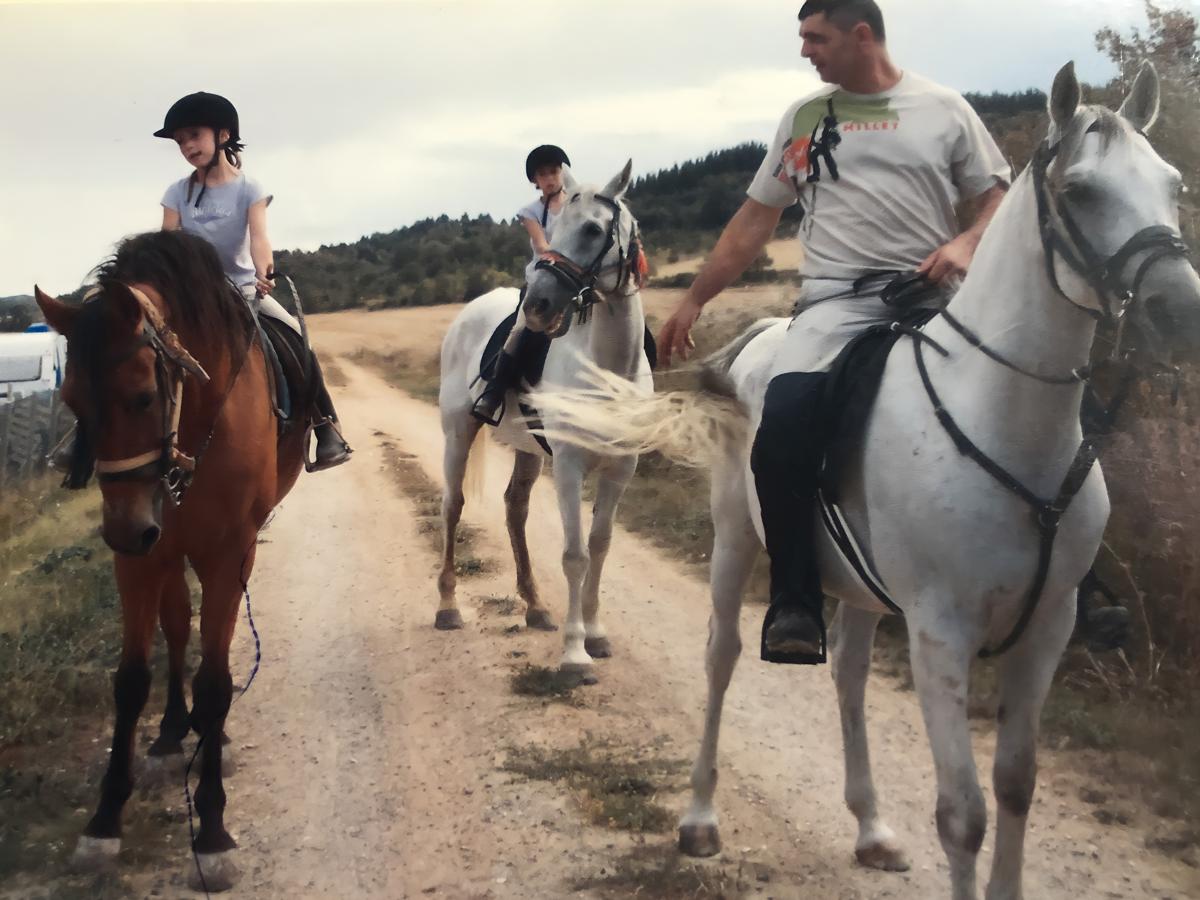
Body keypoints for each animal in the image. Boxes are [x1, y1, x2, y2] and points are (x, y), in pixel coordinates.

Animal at [35, 229, 307, 892]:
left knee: (212, 650)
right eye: (71, 400)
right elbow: (132, 678)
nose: (125, 529)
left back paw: (212, 736)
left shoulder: (226, 553)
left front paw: (212, 832)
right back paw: (169, 736)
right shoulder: (142, 560)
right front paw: (104, 820)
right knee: (180, 628)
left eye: (141, 396)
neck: (195, 425)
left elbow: (215, 680)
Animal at [436, 162, 652, 681]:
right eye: (550, 232)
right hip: (457, 433)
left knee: (515, 509)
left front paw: (596, 634)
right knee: (452, 505)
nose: (537, 307)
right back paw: (448, 606)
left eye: (592, 229)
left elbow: (599, 546)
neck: (608, 369)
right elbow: (574, 555)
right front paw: (575, 654)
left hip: (528, 449)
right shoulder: (570, 466)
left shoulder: (621, 469)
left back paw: (534, 606)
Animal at [530, 65, 1200, 900]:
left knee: (848, 677)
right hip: (736, 540)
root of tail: (756, 345)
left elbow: (1016, 785)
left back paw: (872, 826)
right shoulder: (941, 630)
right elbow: (963, 813)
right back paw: (700, 818)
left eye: (1172, 183)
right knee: (721, 657)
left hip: (855, 584)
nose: (1181, 312)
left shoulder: (1047, 627)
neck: (1006, 417)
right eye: (1079, 191)